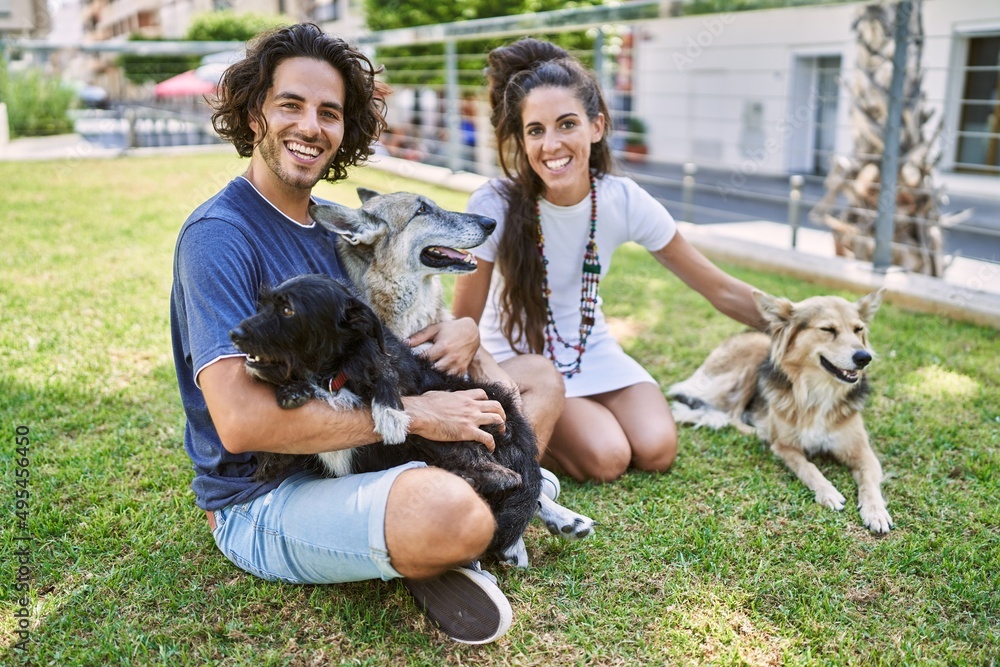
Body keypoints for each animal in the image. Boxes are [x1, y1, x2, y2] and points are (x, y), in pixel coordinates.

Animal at [229, 274, 540, 560]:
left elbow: (384, 370)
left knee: (507, 478)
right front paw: (292, 391)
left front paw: (389, 412)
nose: (234, 333)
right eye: (262, 305)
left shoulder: (393, 366)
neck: (331, 374)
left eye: (287, 310)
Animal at [668, 290, 896, 536]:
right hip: (756, 355)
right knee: (733, 414)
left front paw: (876, 512)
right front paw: (828, 492)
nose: (864, 357)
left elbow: (869, 483)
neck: (819, 393)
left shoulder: (862, 452)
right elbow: (808, 467)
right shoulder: (786, 447)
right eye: (827, 329)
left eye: (858, 329)